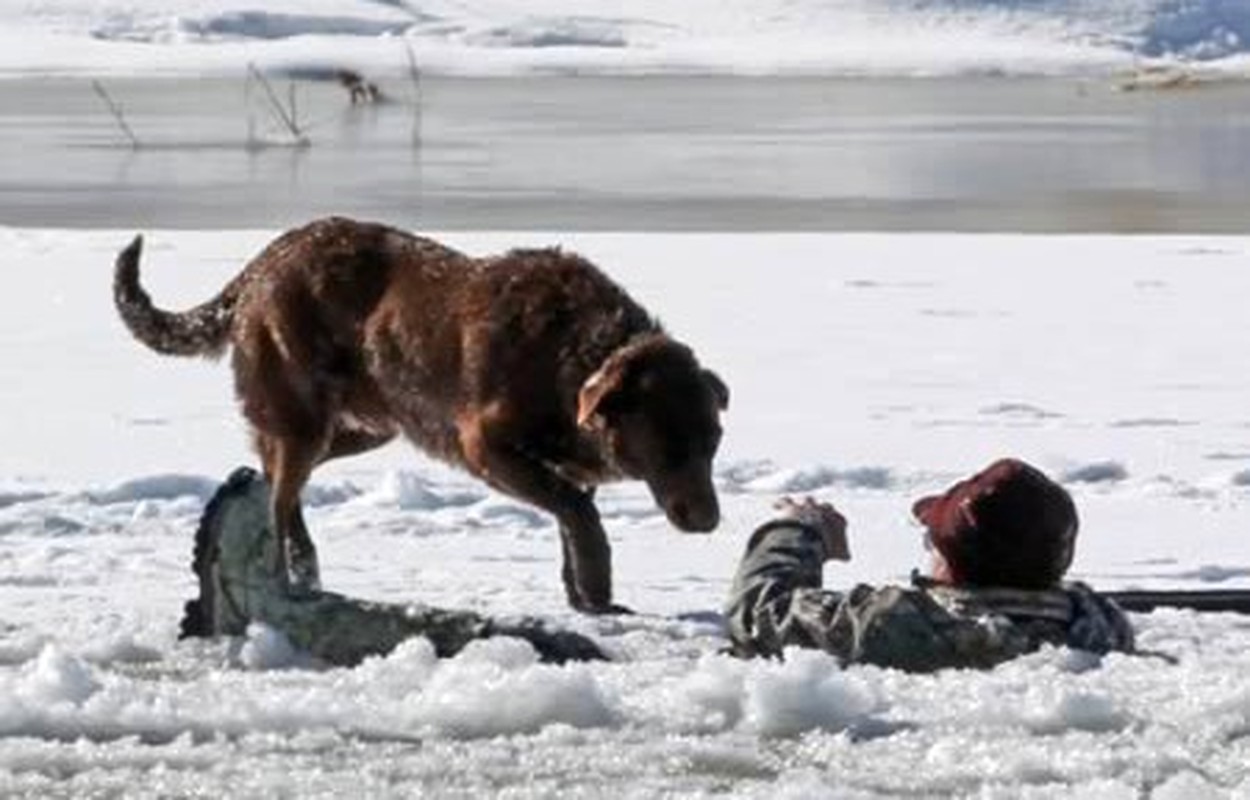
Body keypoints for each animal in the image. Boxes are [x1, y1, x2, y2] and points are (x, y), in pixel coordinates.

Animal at [115, 215, 730, 610]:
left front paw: (583, 597)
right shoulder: (484, 445)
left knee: (274, 474)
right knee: (280, 493)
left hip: (369, 425)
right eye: (668, 445)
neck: (576, 354)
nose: (709, 521)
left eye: (713, 444)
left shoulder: (569, 464)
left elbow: (572, 517)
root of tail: (262, 263)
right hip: (305, 418)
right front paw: (598, 588)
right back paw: (289, 576)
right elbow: (577, 514)